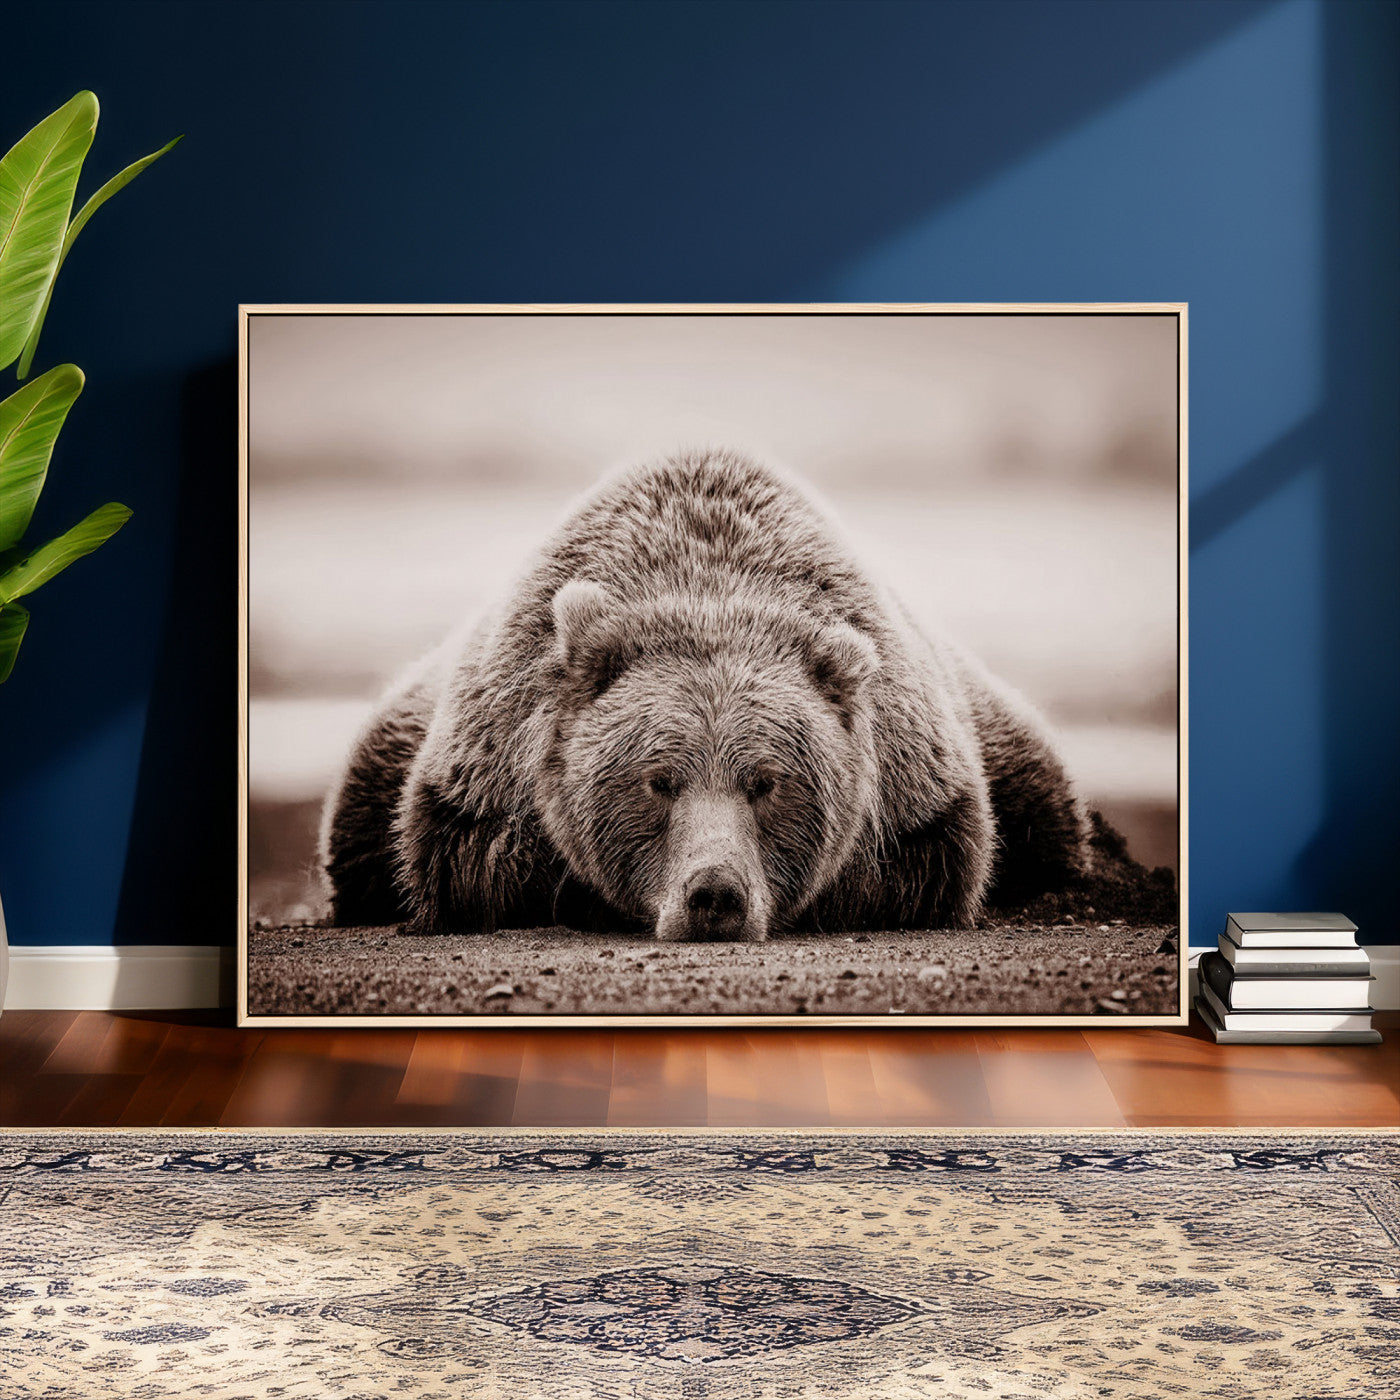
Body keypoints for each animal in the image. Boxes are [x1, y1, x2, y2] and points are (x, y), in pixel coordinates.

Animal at [320, 448, 1087, 941]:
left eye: (767, 781)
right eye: (658, 780)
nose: (714, 893)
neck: (707, 584)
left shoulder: (915, 779)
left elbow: (929, 862)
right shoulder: (487, 760)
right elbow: (471, 859)